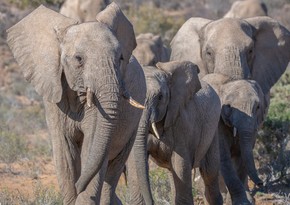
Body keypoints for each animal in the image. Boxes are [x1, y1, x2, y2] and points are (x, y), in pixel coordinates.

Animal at [7, 3, 146, 205]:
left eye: (120, 58)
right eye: (78, 59)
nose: (79, 186)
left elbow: (92, 147)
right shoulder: (54, 95)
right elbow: (65, 154)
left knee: (113, 170)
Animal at [126, 61, 222, 205]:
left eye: (160, 97)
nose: (153, 201)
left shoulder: (181, 123)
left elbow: (180, 163)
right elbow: (134, 160)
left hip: (213, 128)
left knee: (209, 173)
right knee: (173, 173)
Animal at [203, 73, 268, 203]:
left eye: (258, 107)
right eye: (228, 107)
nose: (261, 183)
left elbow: (242, 155)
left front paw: (247, 200)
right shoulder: (217, 121)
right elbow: (224, 157)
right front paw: (241, 202)